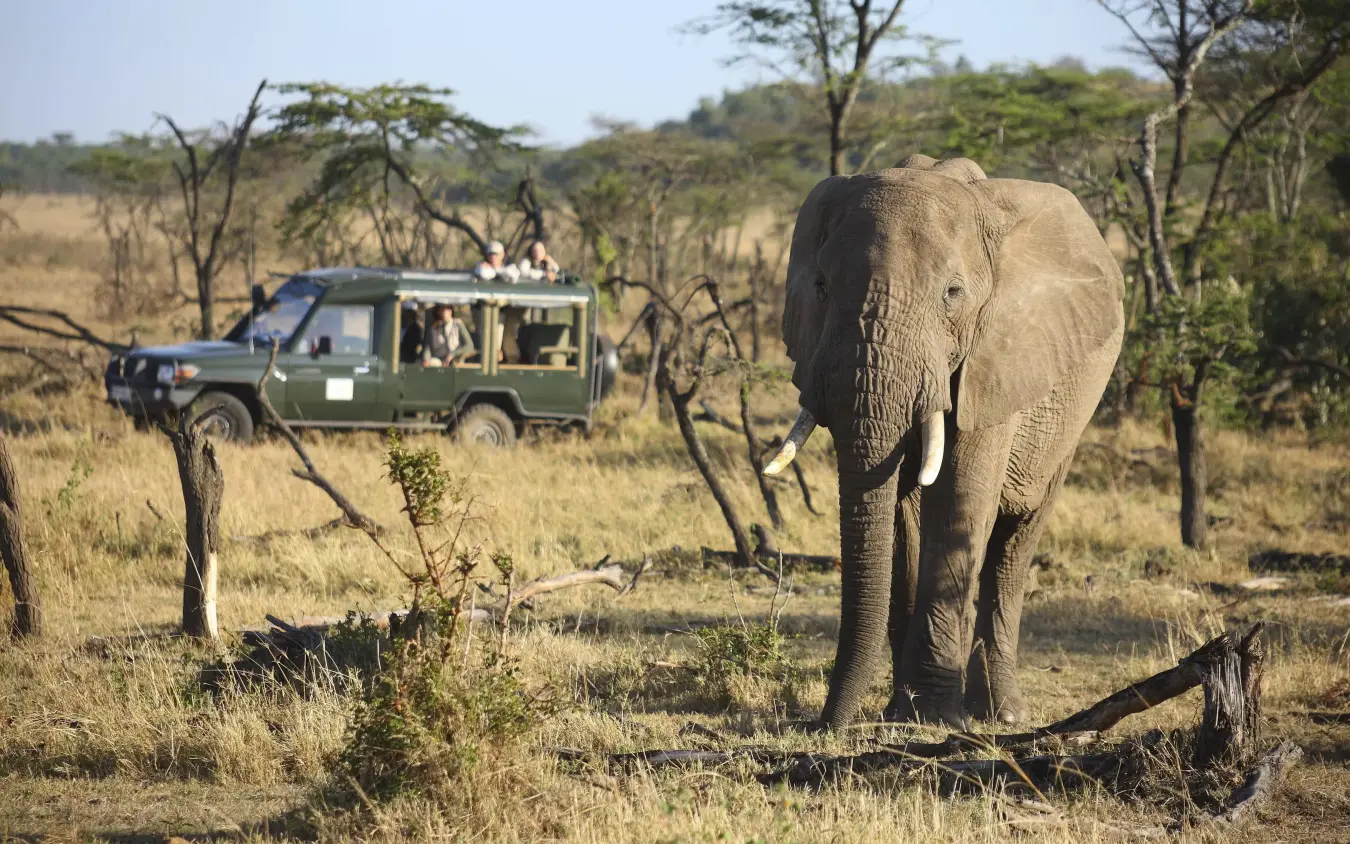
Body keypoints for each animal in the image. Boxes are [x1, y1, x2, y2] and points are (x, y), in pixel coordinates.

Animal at [763, 154, 1124, 730]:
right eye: (820, 287)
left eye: (952, 295)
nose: (821, 725)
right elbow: (898, 513)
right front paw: (903, 711)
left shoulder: (995, 358)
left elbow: (958, 498)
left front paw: (933, 717)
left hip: (1075, 407)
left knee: (1014, 544)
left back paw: (1003, 714)